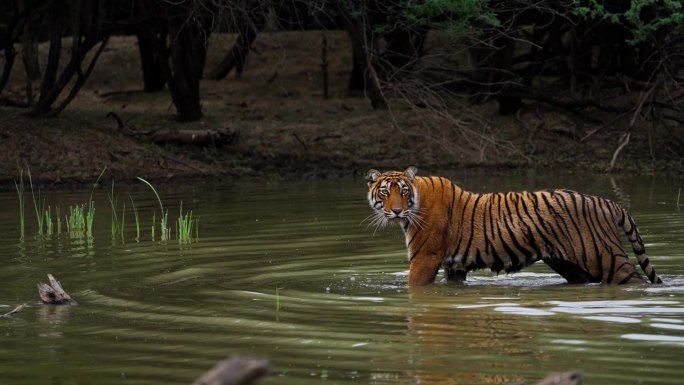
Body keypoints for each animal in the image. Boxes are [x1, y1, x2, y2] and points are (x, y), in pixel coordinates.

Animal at [366, 166, 664, 284]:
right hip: (569, 264)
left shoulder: (425, 259)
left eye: (403, 192)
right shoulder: (454, 266)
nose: (396, 210)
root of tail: (606, 202)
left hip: (605, 257)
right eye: (385, 192)